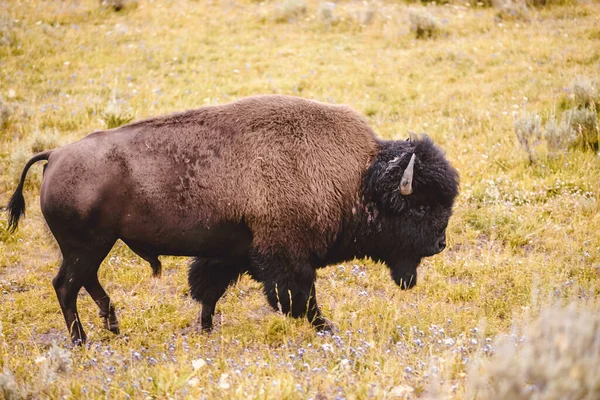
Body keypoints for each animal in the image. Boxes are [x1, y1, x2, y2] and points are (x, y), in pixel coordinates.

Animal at [5, 94, 460, 344]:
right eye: (420, 206)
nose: (439, 244)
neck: (356, 178)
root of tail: (55, 155)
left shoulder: (231, 252)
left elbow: (209, 289)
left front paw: (206, 329)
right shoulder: (285, 256)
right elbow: (301, 298)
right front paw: (326, 327)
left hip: (97, 245)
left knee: (85, 282)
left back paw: (113, 327)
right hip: (86, 246)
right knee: (66, 285)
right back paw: (82, 341)